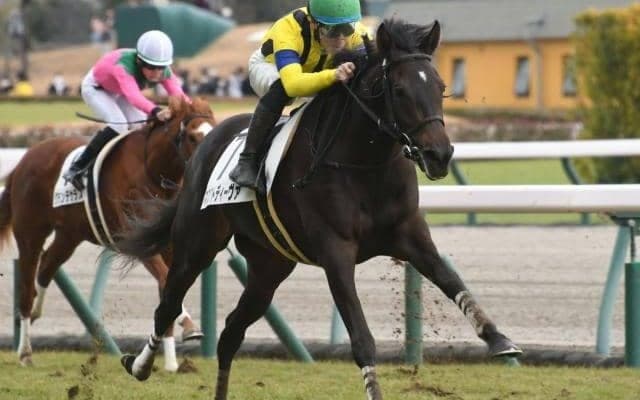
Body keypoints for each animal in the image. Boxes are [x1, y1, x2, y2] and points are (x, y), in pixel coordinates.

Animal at [0, 96, 216, 369]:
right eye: (192, 136)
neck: (152, 170)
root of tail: (23, 161)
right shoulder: (138, 243)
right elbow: (165, 279)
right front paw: (188, 326)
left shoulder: (169, 246)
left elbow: (167, 289)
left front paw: (170, 364)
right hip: (30, 233)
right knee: (27, 288)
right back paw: (25, 351)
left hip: (69, 234)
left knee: (47, 266)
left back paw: (37, 313)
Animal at [116, 19, 521, 400]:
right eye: (400, 90)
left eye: (440, 86)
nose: (440, 155)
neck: (365, 164)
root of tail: (206, 142)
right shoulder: (335, 251)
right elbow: (360, 337)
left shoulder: (410, 234)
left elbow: (452, 280)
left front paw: (499, 340)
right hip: (195, 245)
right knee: (168, 306)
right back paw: (139, 365)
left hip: (269, 267)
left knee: (231, 332)